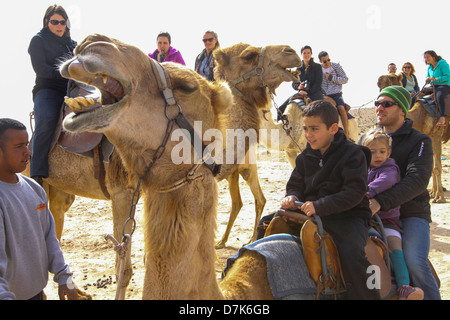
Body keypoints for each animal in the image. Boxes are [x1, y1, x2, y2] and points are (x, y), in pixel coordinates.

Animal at [212, 43, 302, 248]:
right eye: (248, 56)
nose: (291, 51)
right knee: (239, 202)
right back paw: (223, 241)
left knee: (257, 199)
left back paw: (251, 239)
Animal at [378, 73, 448, 201]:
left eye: (392, 77)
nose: (379, 79)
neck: (421, 114)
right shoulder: (428, 136)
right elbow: (431, 167)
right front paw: (433, 193)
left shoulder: (436, 135)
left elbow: (437, 167)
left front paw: (439, 196)